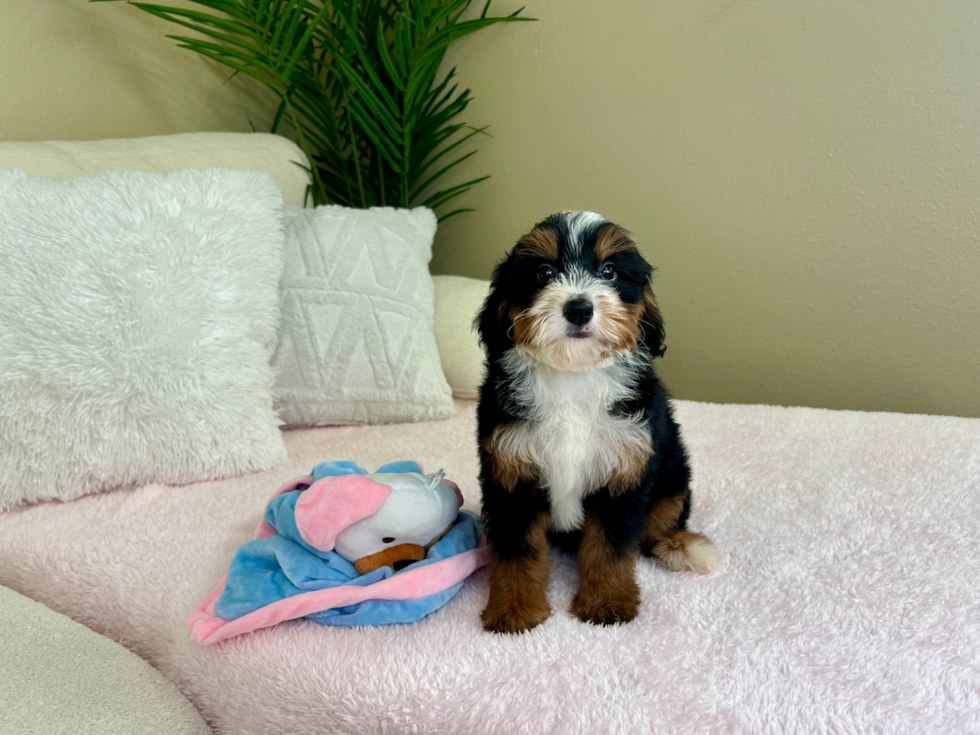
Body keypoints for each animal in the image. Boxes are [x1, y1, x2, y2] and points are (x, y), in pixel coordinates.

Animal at [476, 211, 720, 632]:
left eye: (609, 271)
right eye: (544, 272)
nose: (579, 308)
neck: (573, 375)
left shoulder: (625, 467)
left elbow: (611, 545)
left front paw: (607, 601)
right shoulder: (510, 471)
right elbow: (515, 548)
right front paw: (514, 609)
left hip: (672, 476)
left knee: (660, 527)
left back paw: (685, 547)